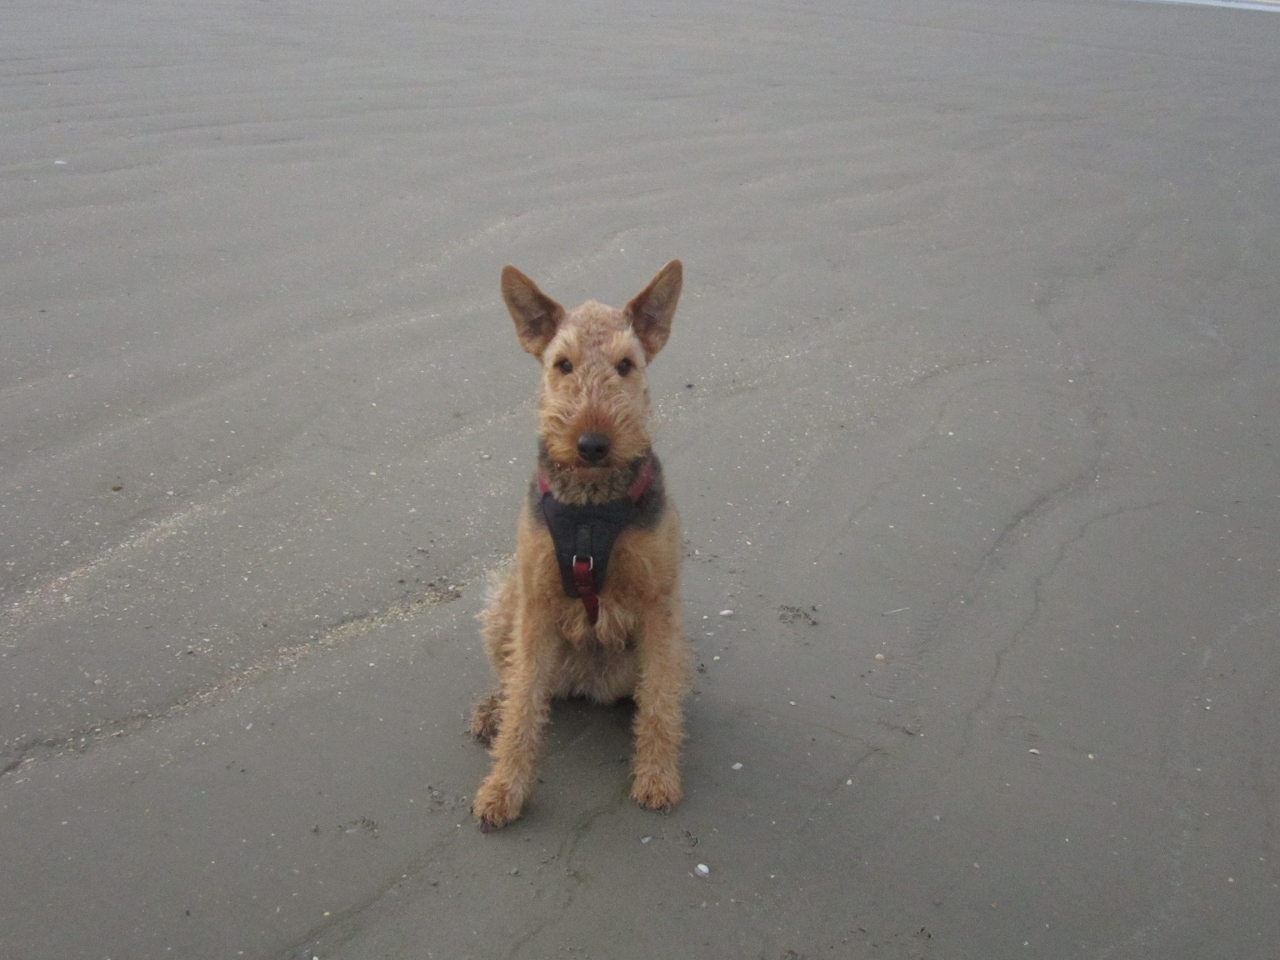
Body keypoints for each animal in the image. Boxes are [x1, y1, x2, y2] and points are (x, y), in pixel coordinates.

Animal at [470, 260, 690, 830]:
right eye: (563, 364)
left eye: (625, 365)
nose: (592, 444)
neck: (591, 507)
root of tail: (586, 682)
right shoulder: (537, 603)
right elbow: (524, 705)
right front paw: (503, 790)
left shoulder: (659, 602)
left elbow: (660, 704)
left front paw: (657, 777)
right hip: (504, 602)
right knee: (515, 681)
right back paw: (491, 710)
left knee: (652, 689)